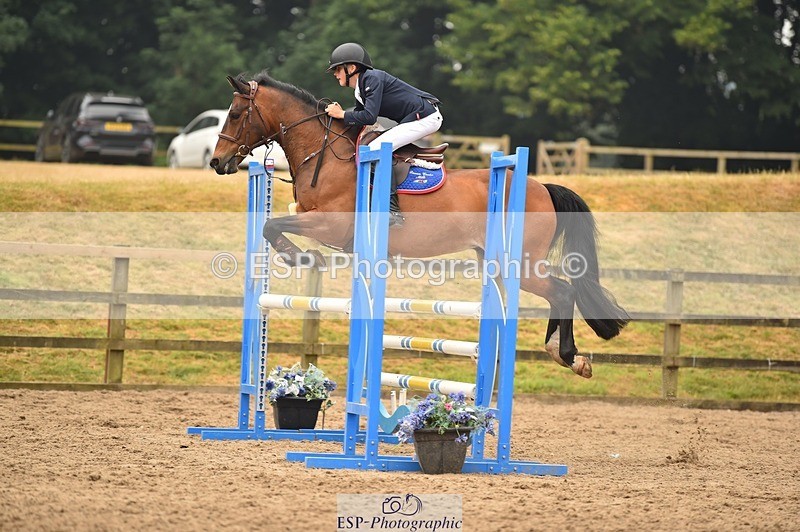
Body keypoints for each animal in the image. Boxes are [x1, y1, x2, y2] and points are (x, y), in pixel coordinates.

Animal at [210, 70, 630, 378]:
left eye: (235, 114)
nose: (217, 162)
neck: (324, 154)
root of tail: (542, 187)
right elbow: (274, 225)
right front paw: (301, 258)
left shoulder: (331, 225)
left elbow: (273, 227)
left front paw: (301, 258)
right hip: (496, 260)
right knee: (560, 291)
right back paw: (563, 354)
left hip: (520, 263)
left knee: (562, 289)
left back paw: (569, 356)